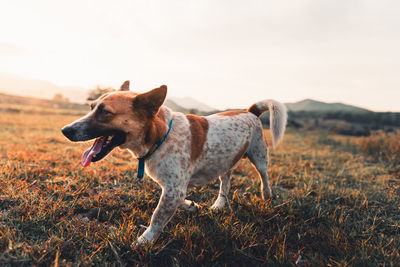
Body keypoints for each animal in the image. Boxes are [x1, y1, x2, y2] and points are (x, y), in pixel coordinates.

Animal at [61, 80, 288, 246]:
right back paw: (219, 204)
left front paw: (143, 241)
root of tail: (250, 111)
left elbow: (157, 217)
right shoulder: (174, 189)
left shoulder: (173, 189)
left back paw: (266, 195)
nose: (65, 130)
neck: (160, 136)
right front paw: (191, 206)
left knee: (264, 176)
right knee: (225, 181)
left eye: (105, 112)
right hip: (225, 161)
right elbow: (179, 202)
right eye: (91, 107)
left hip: (259, 156)